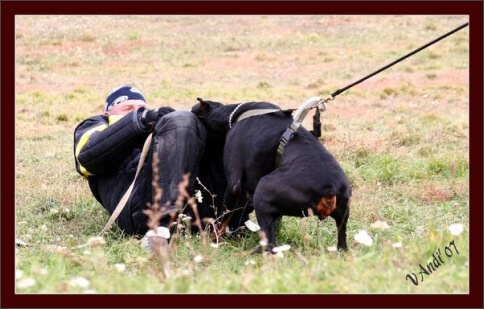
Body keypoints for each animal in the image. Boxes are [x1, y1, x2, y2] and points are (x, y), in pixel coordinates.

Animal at [190, 97, 352, 251]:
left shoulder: (234, 184)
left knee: (270, 244)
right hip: (343, 211)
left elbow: (222, 219)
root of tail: (329, 189)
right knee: (342, 243)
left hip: (262, 191)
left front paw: (212, 241)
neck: (232, 114)